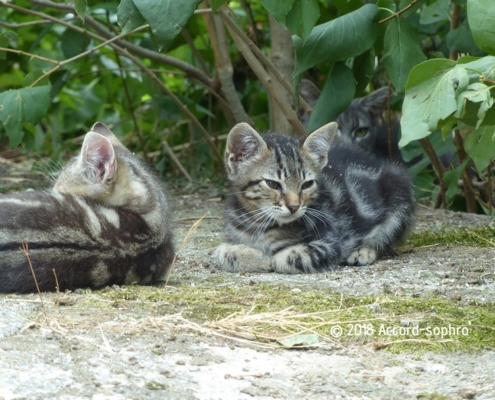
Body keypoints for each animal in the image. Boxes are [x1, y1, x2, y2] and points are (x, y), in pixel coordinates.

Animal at [215, 121, 416, 272]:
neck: (260, 225)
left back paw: (364, 251)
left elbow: (288, 257)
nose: (294, 206)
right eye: (273, 184)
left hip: (399, 190)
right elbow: (221, 251)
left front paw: (268, 259)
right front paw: (250, 256)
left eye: (307, 184)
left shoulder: (331, 243)